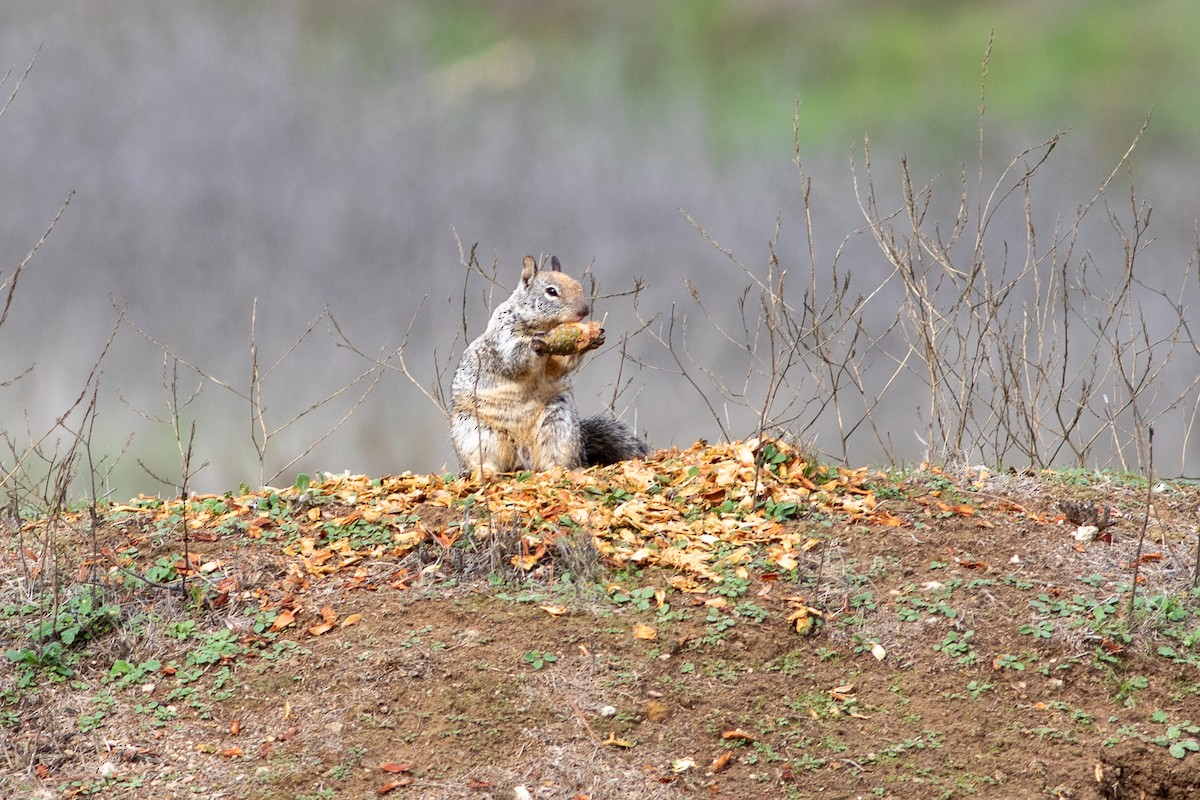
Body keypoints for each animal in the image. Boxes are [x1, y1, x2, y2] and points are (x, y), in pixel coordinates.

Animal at [450, 254, 649, 474]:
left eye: (579, 286)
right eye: (551, 291)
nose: (584, 311)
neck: (546, 326)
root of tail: (523, 456)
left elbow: (558, 366)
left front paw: (593, 340)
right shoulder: (503, 336)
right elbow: (513, 357)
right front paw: (536, 344)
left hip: (558, 423)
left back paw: (560, 469)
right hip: (475, 433)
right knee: (486, 459)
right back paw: (484, 471)